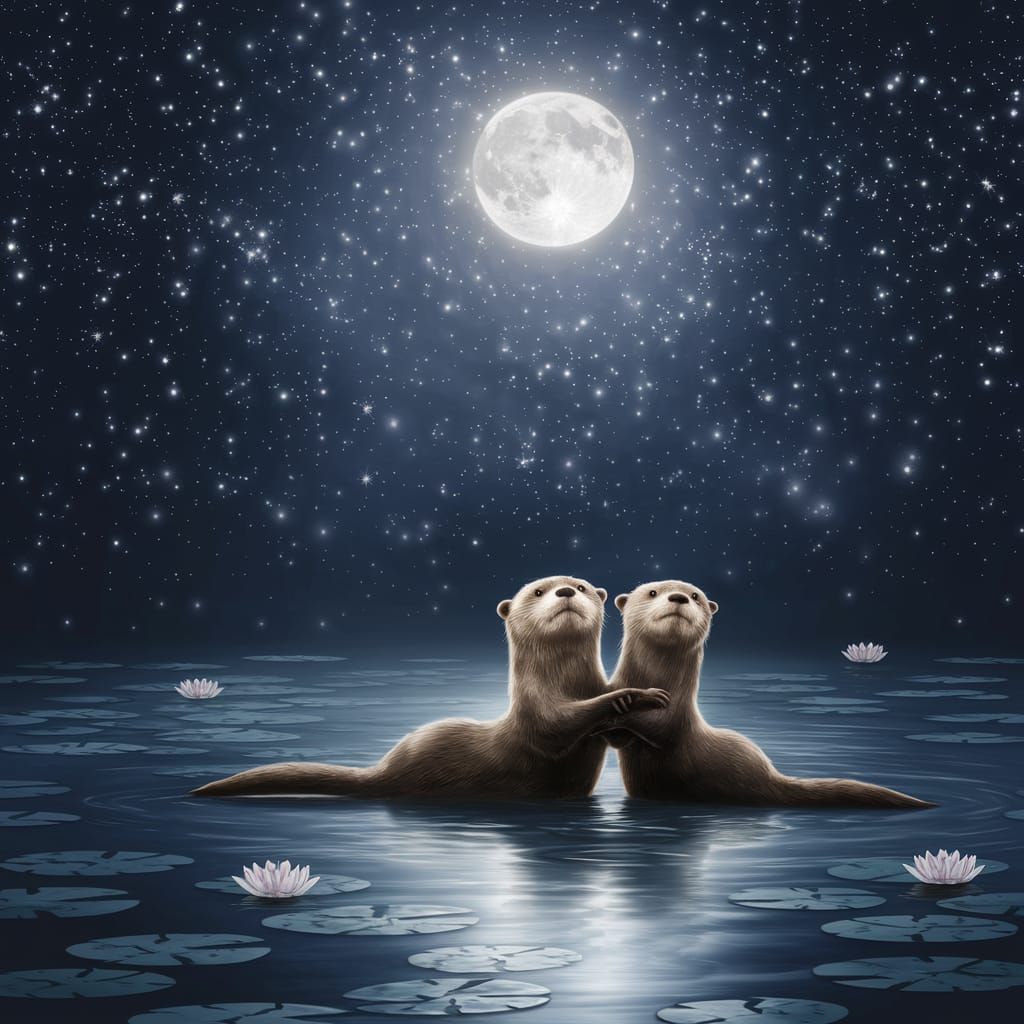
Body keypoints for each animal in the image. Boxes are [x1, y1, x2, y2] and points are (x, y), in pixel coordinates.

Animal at [192, 576, 670, 799]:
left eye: (585, 586)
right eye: (537, 590)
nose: (567, 591)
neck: (568, 681)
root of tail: (383, 770)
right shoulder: (539, 711)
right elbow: (560, 724)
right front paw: (640, 695)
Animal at [600, 580, 934, 809]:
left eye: (696, 596)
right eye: (653, 592)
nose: (679, 597)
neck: (656, 678)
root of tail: (773, 777)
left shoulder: (675, 716)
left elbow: (658, 726)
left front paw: (634, 707)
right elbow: (617, 737)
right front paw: (621, 703)